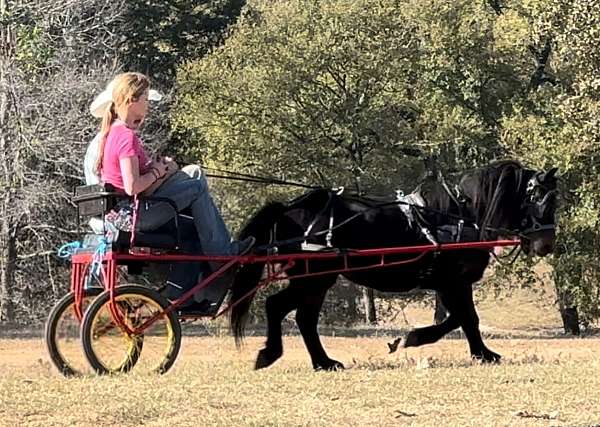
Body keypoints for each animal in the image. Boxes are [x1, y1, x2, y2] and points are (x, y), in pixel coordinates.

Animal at [230, 160, 556, 372]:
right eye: (539, 198)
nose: (547, 244)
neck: (460, 215)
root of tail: (290, 207)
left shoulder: (447, 284)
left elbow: (458, 319)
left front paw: (423, 339)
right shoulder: (454, 282)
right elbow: (467, 318)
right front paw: (480, 353)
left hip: (318, 279)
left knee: (303, 319)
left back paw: (324, 362)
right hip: (313, 278)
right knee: (278, 307)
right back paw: (271, 354)